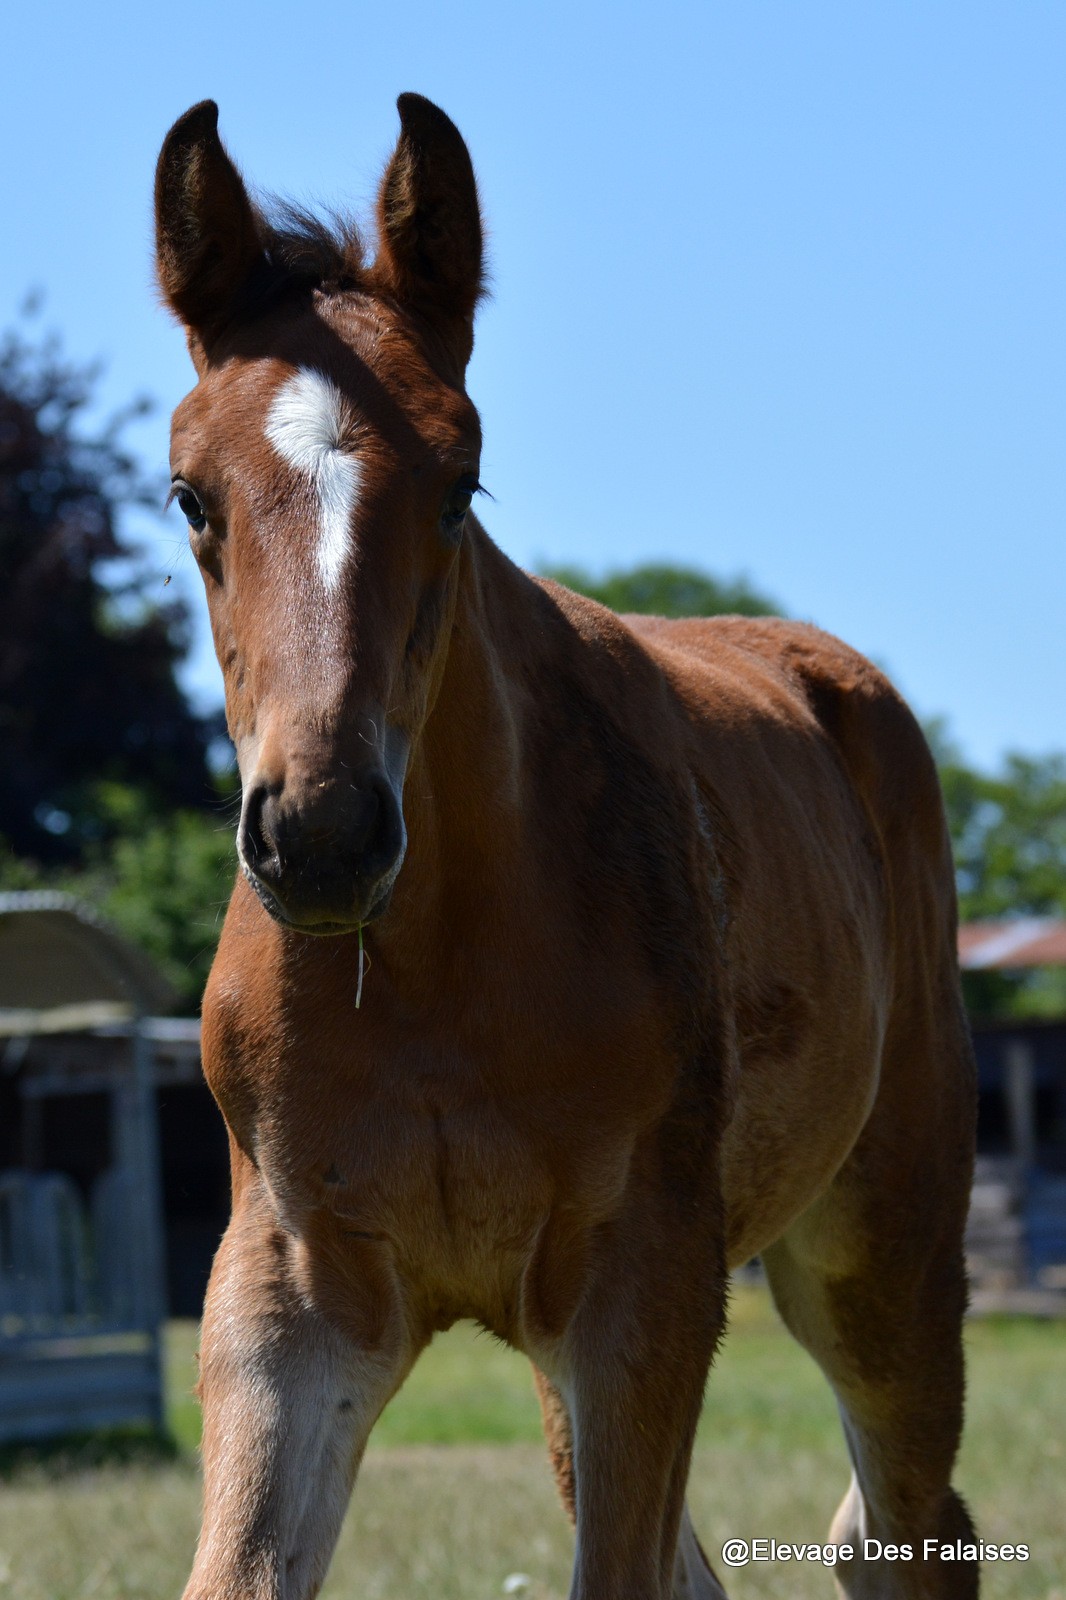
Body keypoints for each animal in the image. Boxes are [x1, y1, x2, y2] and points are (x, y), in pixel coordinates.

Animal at [153, 90, 973, 1600]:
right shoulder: (289, 1295)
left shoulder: (644, 1279)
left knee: (902, 1526)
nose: (322, 836)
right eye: (189, 496)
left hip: (875, 1247)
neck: (424, 972)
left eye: (461, 481)